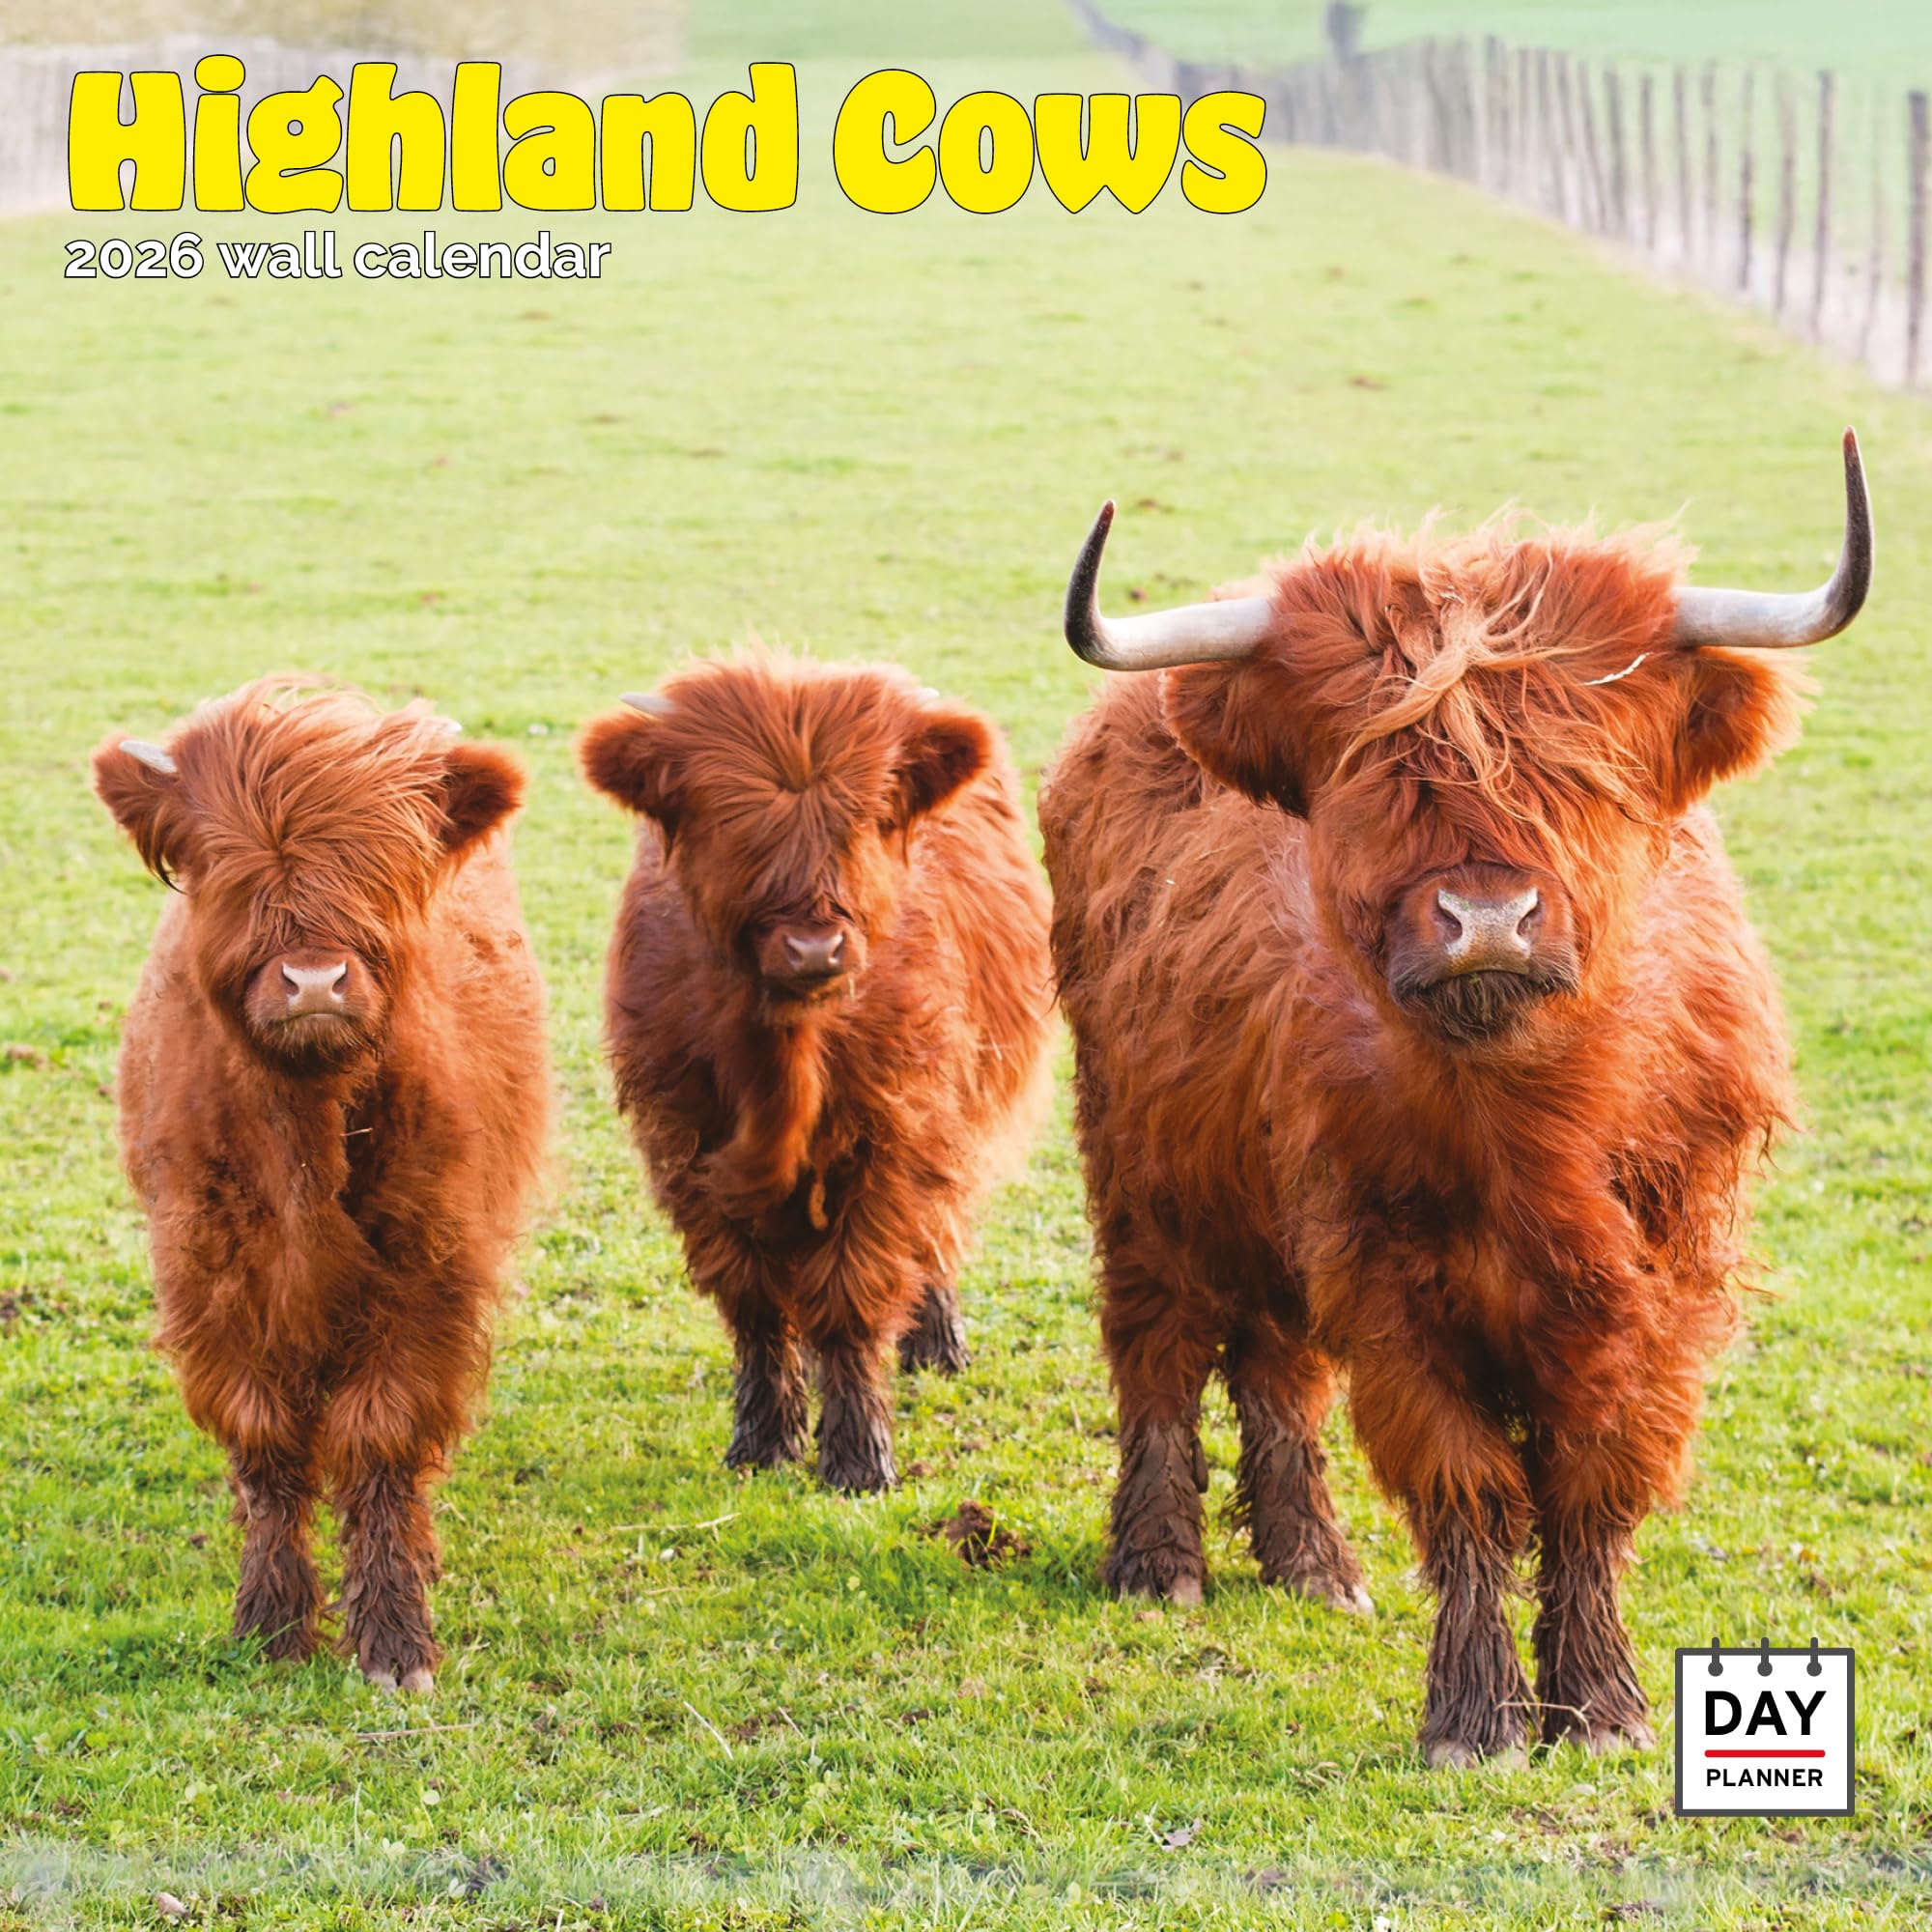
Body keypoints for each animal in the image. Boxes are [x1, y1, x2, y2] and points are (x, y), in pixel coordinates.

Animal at [92, 680, 551, 1690]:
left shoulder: (427, 1269)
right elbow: (265, 1444)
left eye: (382, 865)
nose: (312, 980)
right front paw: (270, 1622)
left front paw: (393, 1638)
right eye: (225, 868)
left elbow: (380, 1441)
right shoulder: (209, 1274)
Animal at [579, 653, 1053, 1492]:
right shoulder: (688, 1147)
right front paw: (763, 1439)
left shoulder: (891, 1140)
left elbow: (852, 1298)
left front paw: (859, 1457)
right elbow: (755, 1303)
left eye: (866, 819)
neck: (784, 1061)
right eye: (729, 821)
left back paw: (936, 1341)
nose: (812, 949)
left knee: (937, 1226)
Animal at [1038, 434, 1872, 1765]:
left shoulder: (1660, 1286)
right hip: (1139, 1156)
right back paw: (1160, 1561)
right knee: (1157, 1342)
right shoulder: (1388, 1284)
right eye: (1376, 770)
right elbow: (1469, 1490)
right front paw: (1474, 1716)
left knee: (1274, 1362)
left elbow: (1591, 1487)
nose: (1485, 918)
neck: (1523, 1126)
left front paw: (1598, 1704)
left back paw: (1311, 1560)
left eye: (1583, 769)